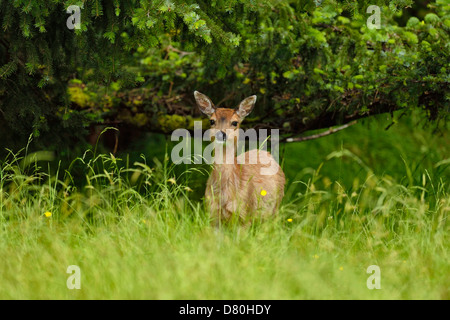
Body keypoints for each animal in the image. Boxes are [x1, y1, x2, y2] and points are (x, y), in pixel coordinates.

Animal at [193, 90, 284, 225]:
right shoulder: (212, 213)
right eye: (212, 121)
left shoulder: (245, 214)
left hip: (275, 206)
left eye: (235, 122)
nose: (221, 134)